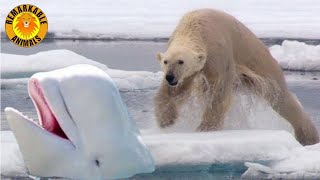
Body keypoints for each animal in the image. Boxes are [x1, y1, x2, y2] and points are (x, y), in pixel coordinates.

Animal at [154, 9, 318, 146]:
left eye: (181, 61)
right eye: (166, 61)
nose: (170, 77)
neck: (195, 26)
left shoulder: (218, 52)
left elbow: (219, 90)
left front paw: (205, 128)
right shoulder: (190, 70)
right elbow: (175, 91)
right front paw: (165, 120)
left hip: (261, 64)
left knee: (281, 98)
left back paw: (309, 136)